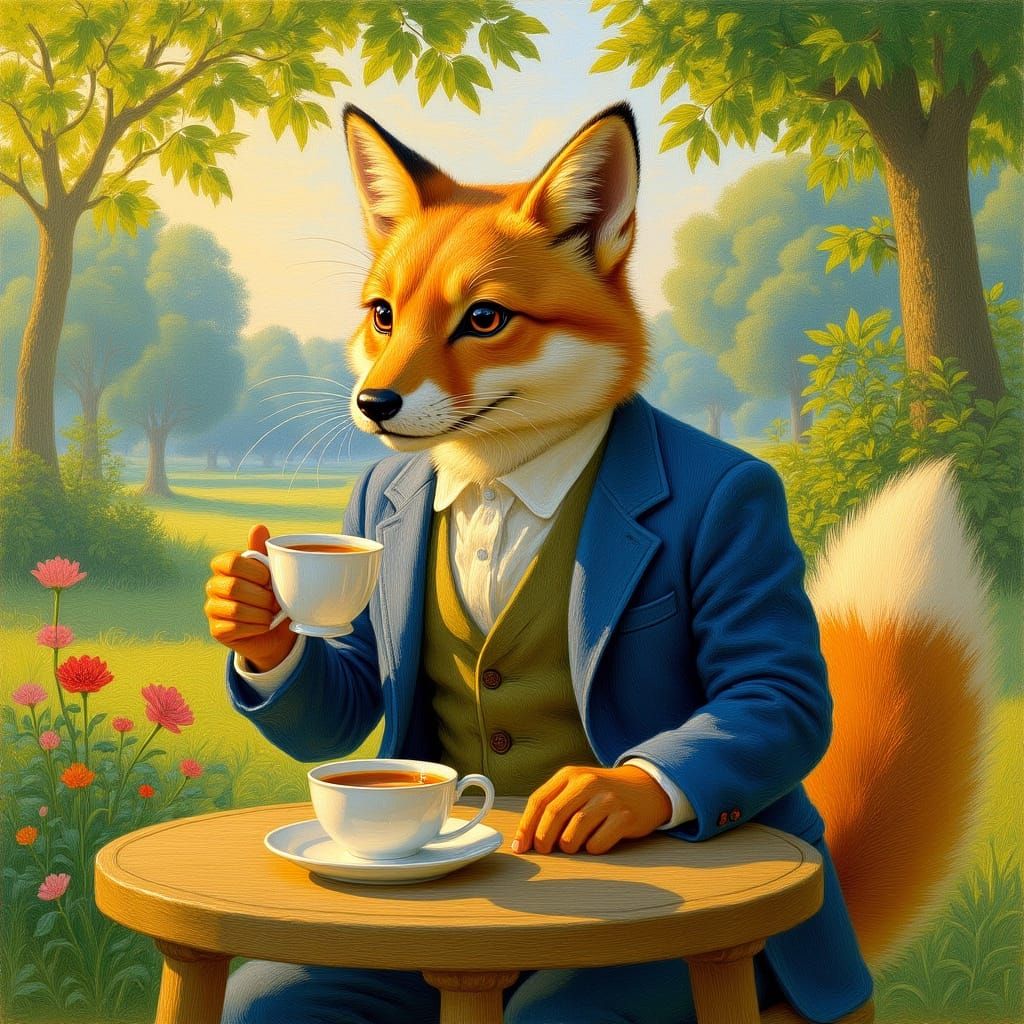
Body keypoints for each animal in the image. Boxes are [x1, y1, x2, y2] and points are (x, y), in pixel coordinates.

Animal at [207, 103, 993, 1024]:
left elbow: (775, 692)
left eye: (484, 319)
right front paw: (251, 618)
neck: (499, 483)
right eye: (383, 315)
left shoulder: (745, 526)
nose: (374, 403)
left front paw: (603, 793)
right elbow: (348, 687)